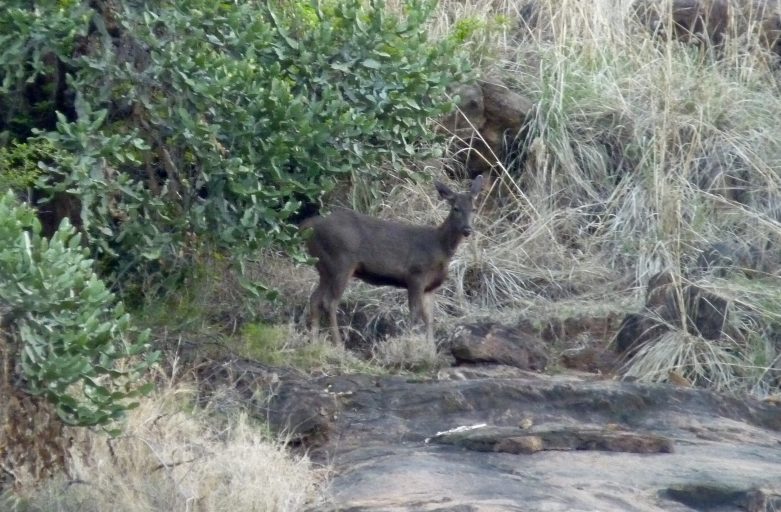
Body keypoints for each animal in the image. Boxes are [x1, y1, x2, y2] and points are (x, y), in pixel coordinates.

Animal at [304, 174, 482, 346]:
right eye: (456, 208)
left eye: (474, 209)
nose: (467, 229)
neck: (440, 248)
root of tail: (309, 228)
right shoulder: (416, 275)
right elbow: (414, 313)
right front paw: (410, 344)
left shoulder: (430, 287)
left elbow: (429, 319)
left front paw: (430, 350)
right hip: (341, 262)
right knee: (329, 302)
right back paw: (338, 344)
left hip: (324, 267)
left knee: (315, 299)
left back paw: (314, 341)